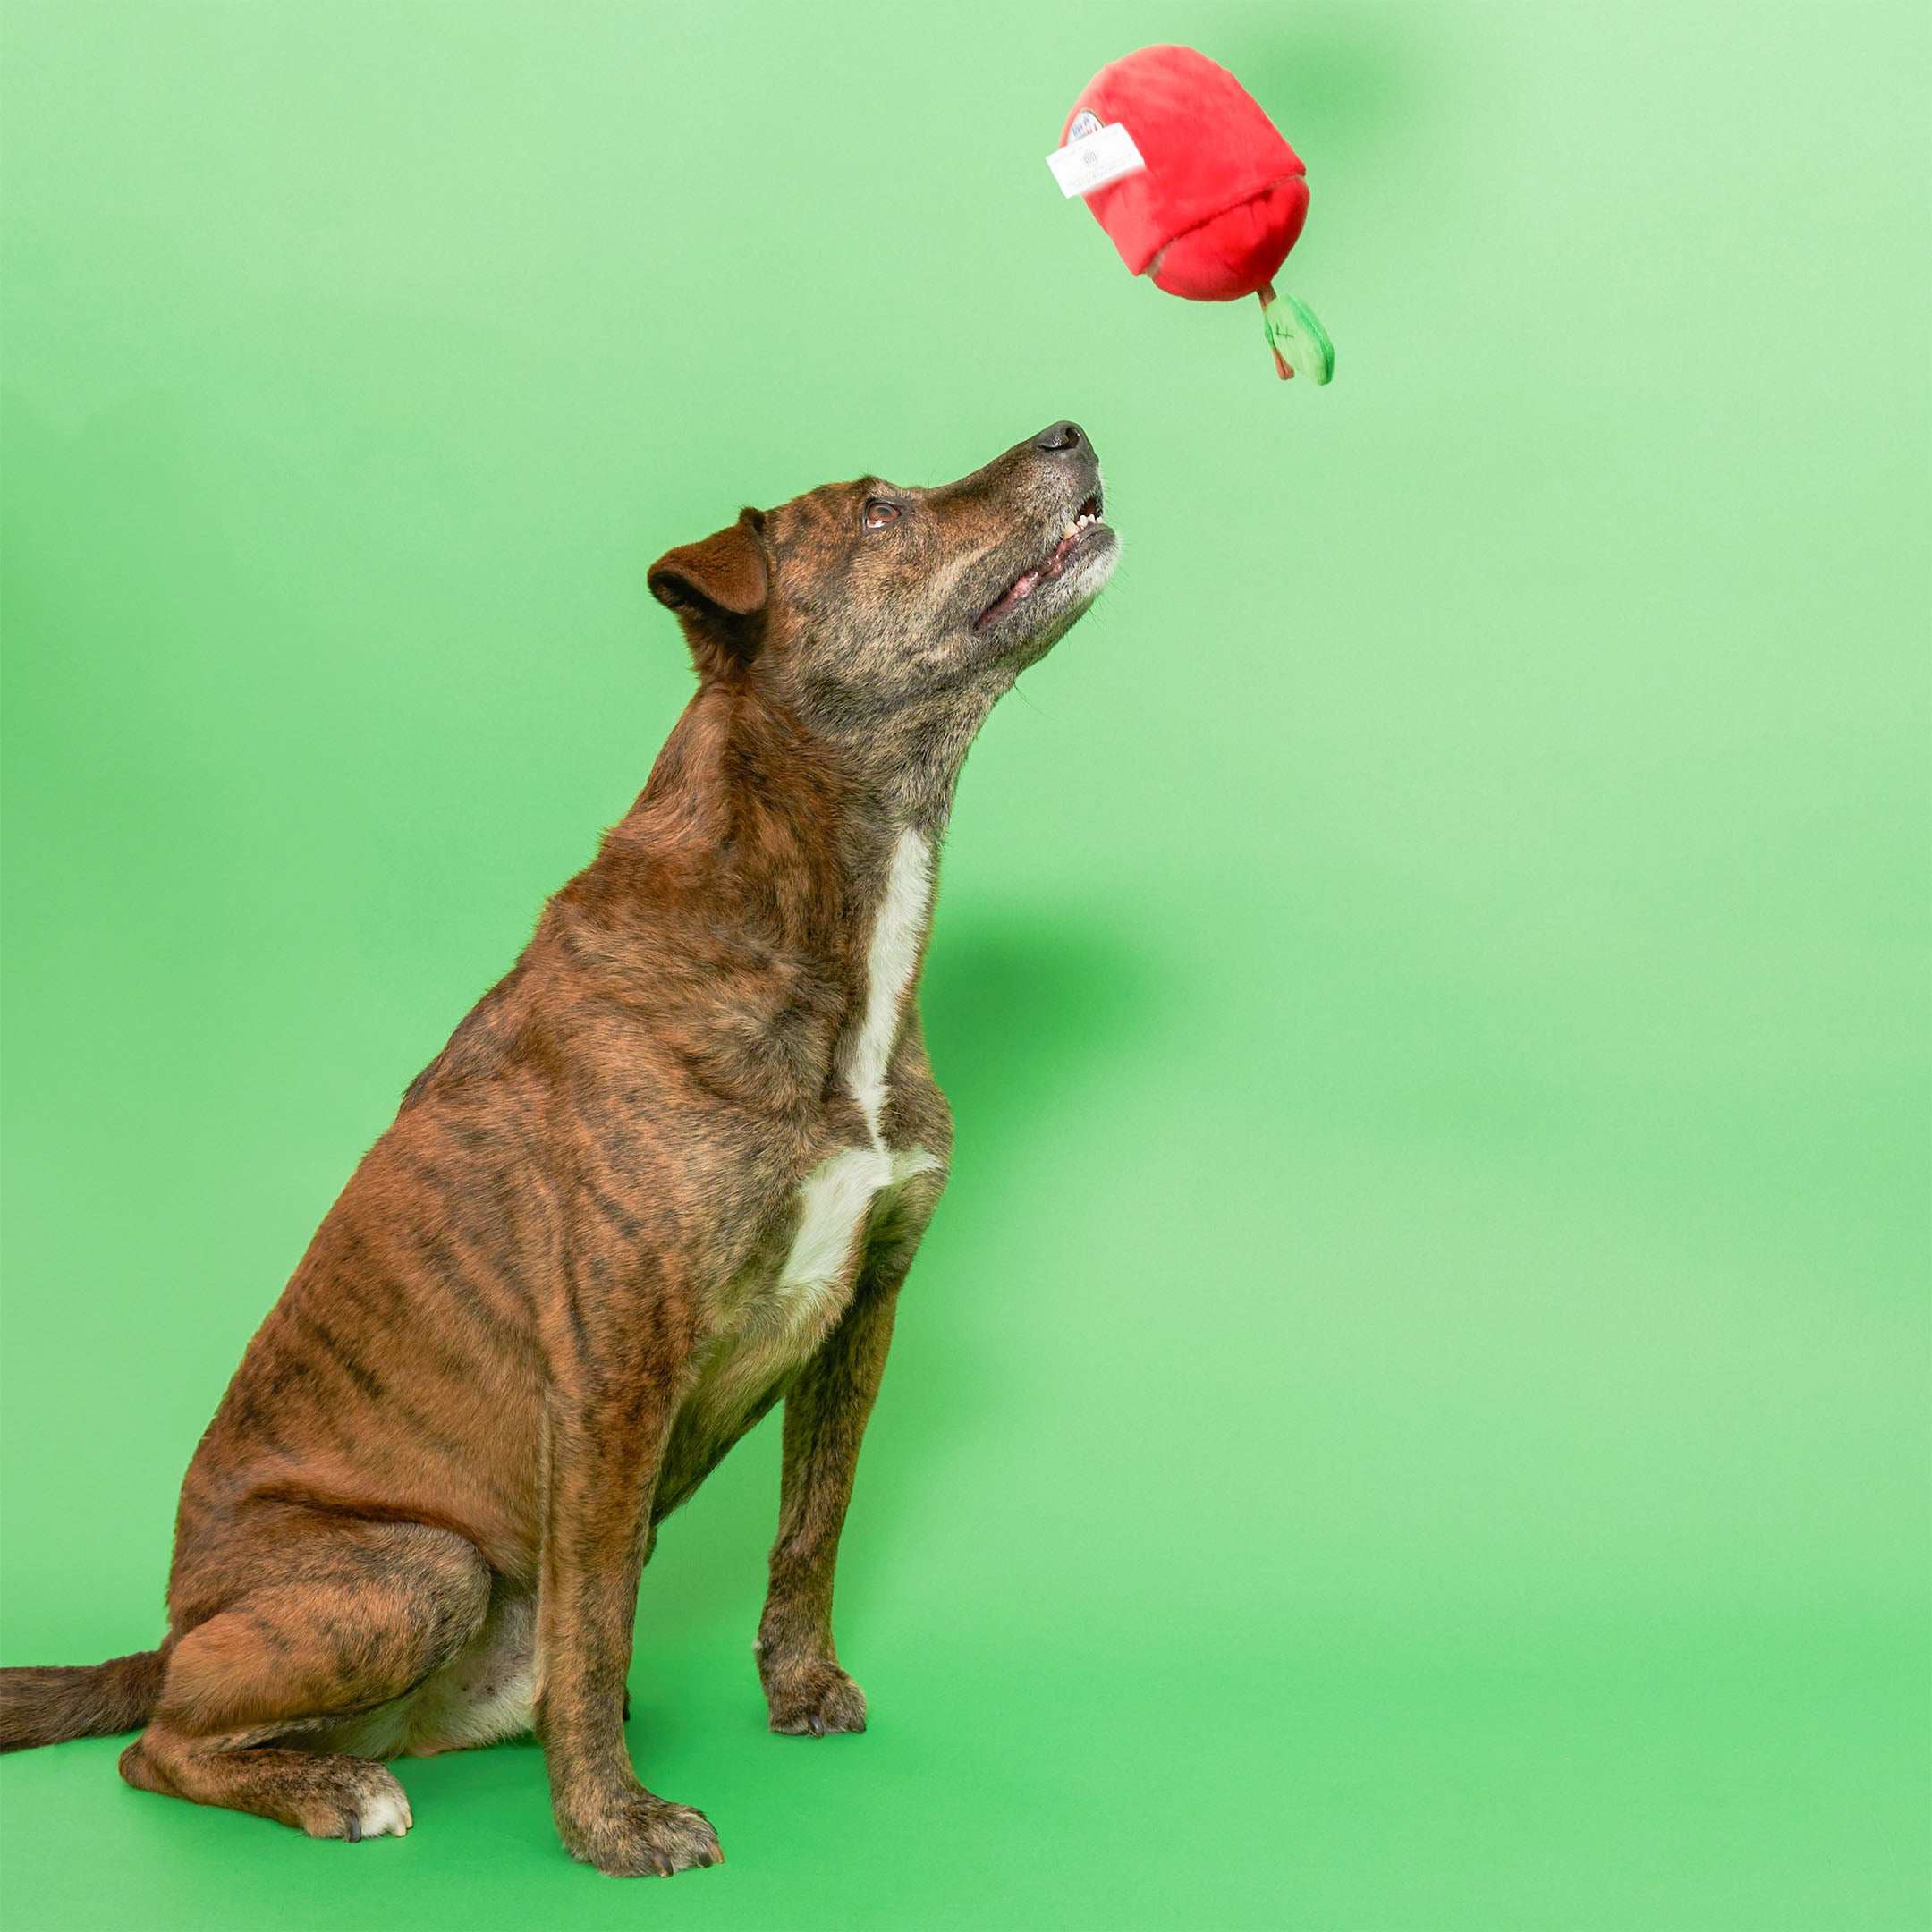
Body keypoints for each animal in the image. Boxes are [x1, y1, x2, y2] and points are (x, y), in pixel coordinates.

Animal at [0, 419, 1120, 1869]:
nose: (1070, 431)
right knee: (161, 1745)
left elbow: (809, 1533)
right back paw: (330, 1786)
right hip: (416, 1566)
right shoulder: (613, 1373)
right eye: (879, 511)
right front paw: (611, 1825)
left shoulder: (866, 1310)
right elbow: (594, 1628)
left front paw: (800, 1690)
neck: (813, 913)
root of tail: (177, 1633)